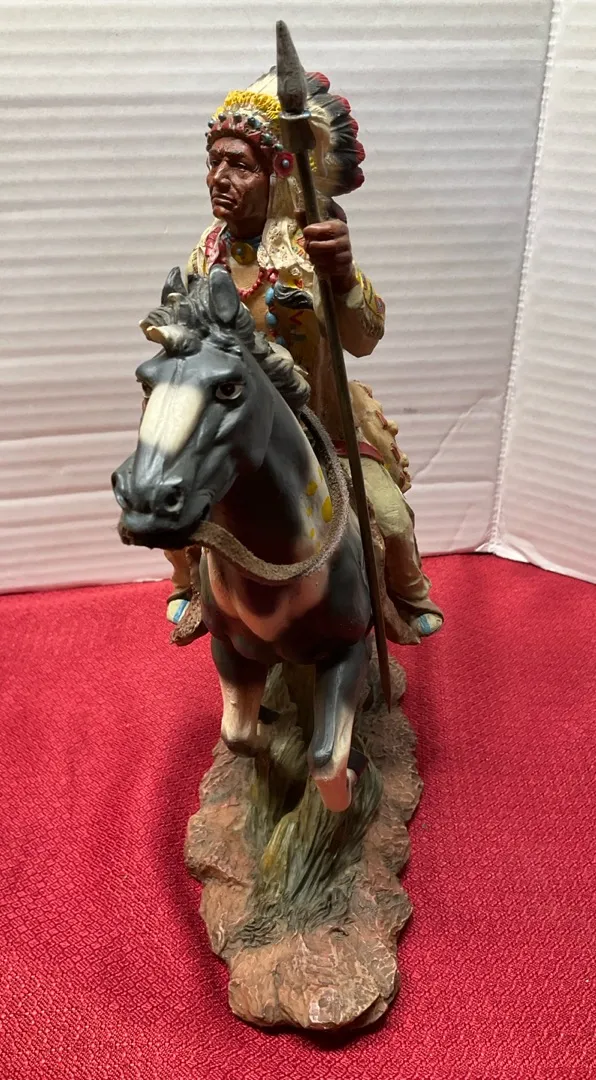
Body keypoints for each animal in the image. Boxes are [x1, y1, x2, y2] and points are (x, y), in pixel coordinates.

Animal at [112, 264, 374, 813]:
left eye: (230, 389)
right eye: (145, 383)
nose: (146, 502)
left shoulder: (348, 650)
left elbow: (327, 760)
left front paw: (354, 771)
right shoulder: (230, 653)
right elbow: (236, 733)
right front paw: (268, 743)